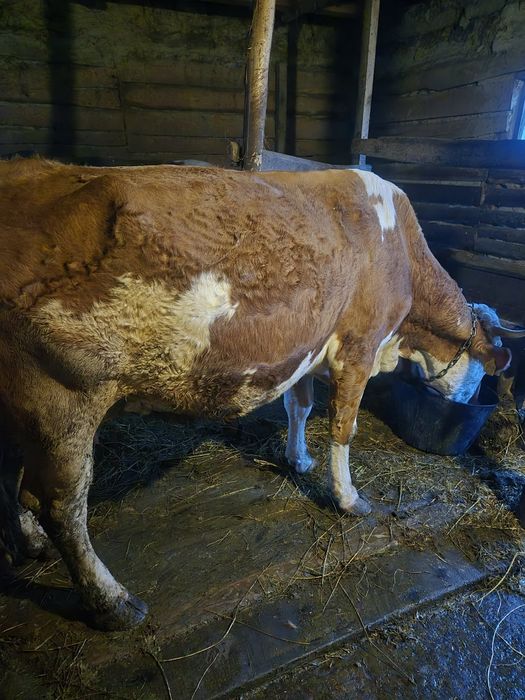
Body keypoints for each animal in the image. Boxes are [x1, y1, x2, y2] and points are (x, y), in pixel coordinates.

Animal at [0, 157, 522, 630]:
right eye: (484, 375)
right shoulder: (359, 344)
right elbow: (344, 426)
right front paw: (349, 499)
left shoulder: (310, 345)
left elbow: (300, 405)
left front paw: (298, 459)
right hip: (62, 396)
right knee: (61, 505)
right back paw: (113, 603)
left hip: (24, 407)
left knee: (14, 477)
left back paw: (30, 543)